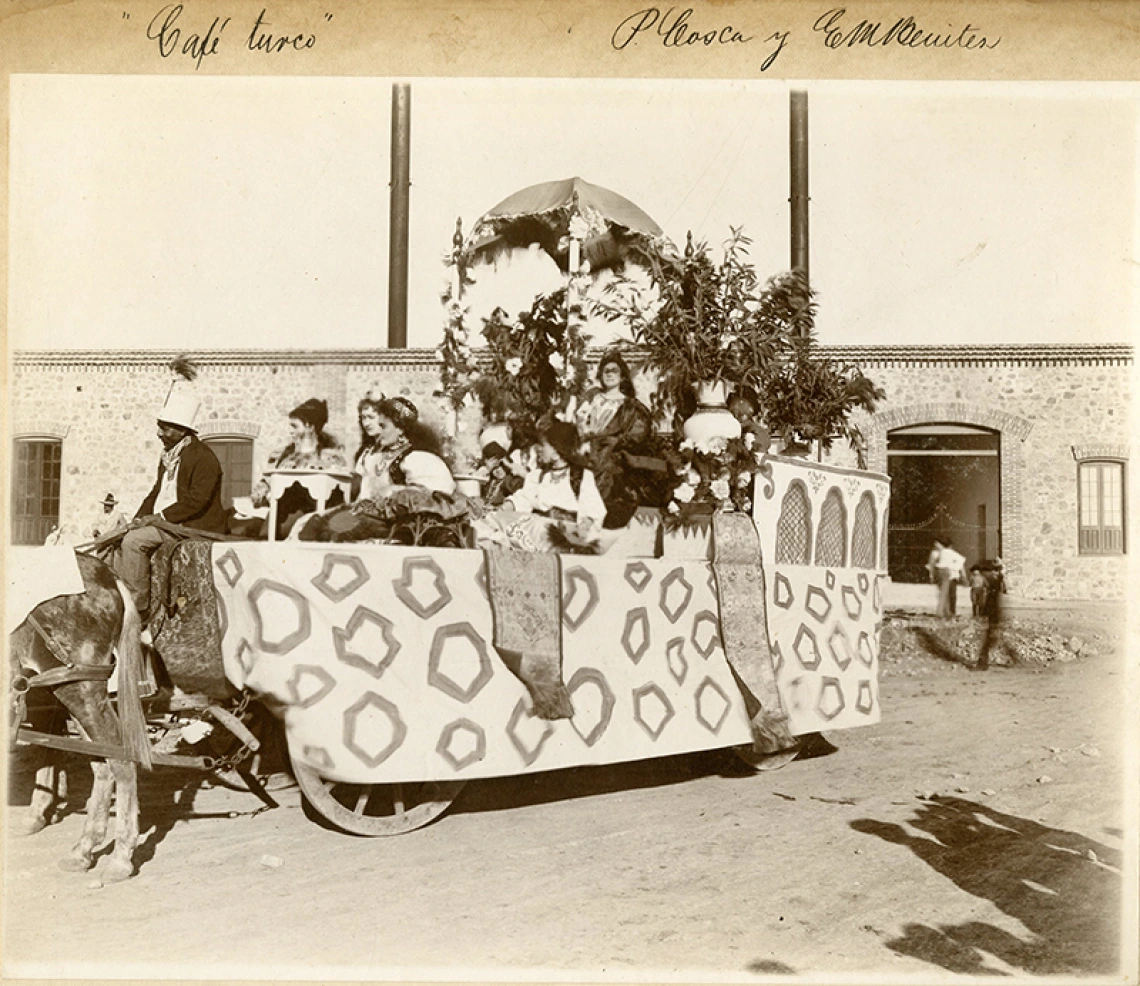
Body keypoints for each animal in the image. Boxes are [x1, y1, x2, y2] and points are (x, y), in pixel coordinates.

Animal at [7, 549, 151, 879]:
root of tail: (105, 573)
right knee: (103, 765)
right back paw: (84, 849)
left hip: (80, 689)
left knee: (122, 760)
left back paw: (121, 856)